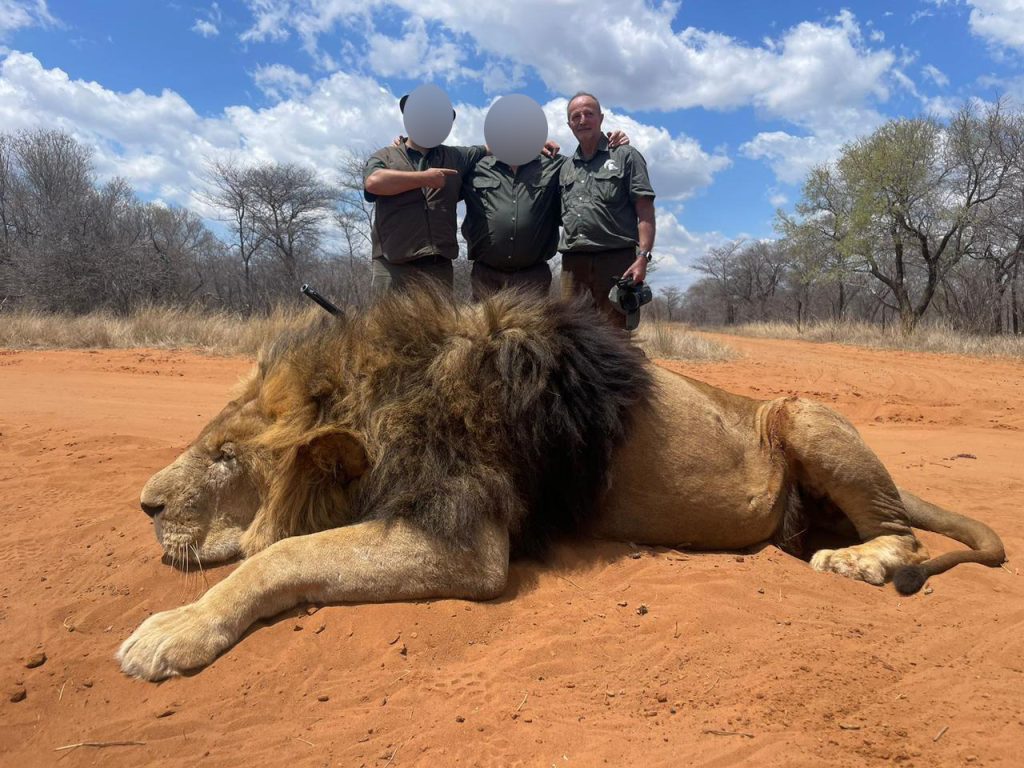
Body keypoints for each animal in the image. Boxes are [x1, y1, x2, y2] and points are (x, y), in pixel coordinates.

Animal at [118, 287, 1006, 681]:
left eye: (227, 456)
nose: (145, 505)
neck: (387, 393)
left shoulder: (462, 543)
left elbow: (278, 557)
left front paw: (170, 632)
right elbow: (281, 552)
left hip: (803, 412)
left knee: (903, 534)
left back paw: (858, 562)